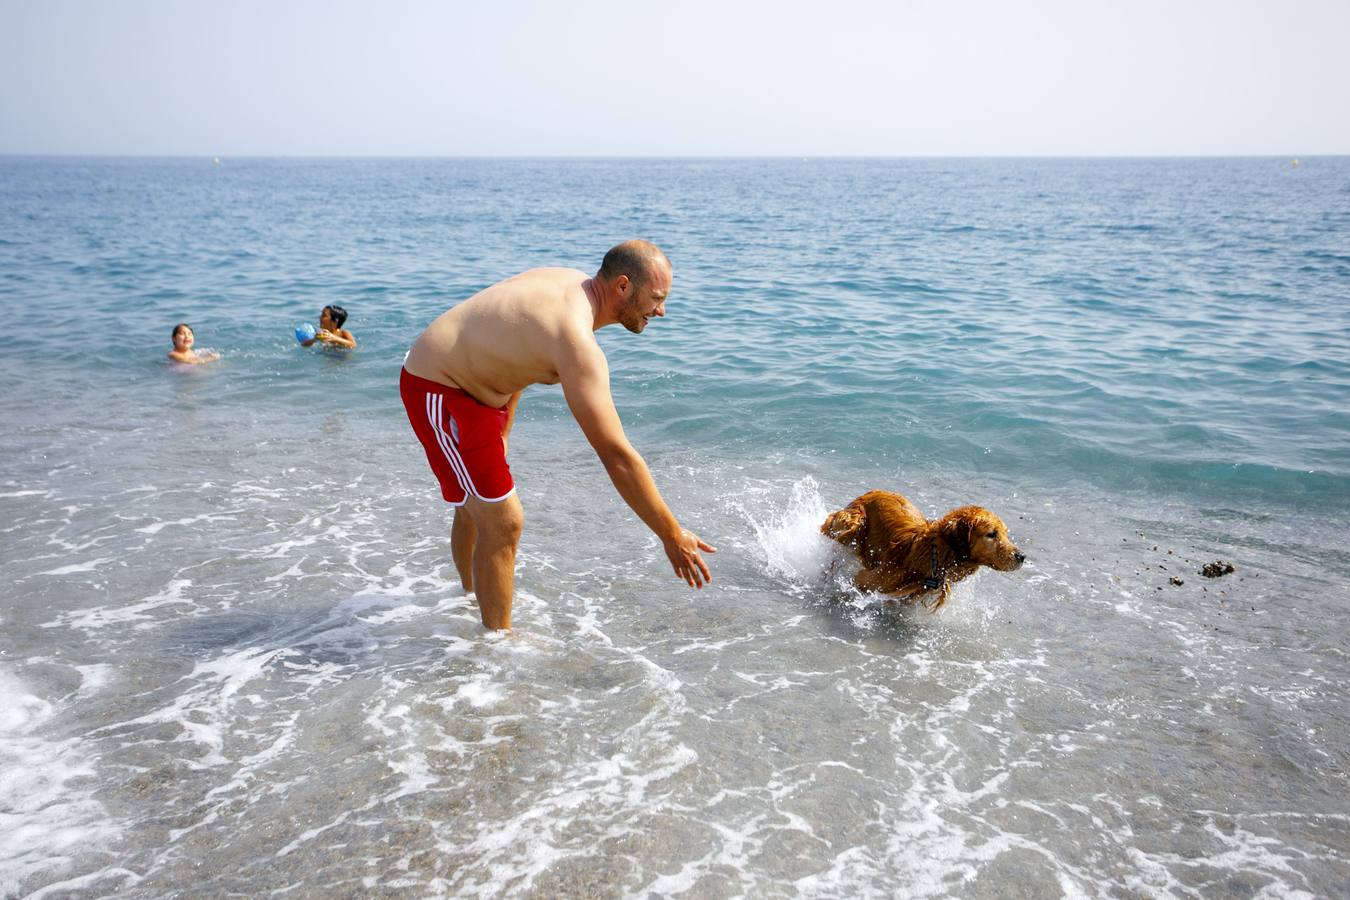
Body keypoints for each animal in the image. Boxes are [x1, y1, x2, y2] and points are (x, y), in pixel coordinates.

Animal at [820, 493, 1020, 612]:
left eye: (1005, 533)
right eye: (991, 534)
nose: (1022, 557)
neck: (935, 555)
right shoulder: (866, 580)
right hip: (853, 526)